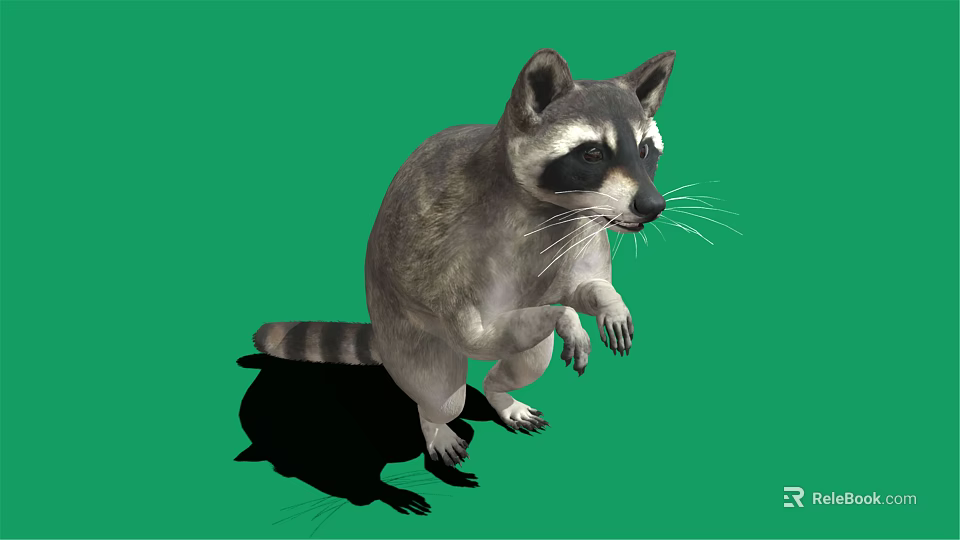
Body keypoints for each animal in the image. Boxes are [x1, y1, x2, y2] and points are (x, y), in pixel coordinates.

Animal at [253, 49, 675, 466]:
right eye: (592, 153)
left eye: (643, 150)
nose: (653, 206)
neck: (553, 210)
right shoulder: (458, 258)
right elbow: (477, 336)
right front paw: (566, 317)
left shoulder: (583, 233)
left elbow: (584, 286)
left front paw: (609, 302)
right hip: (402, 325)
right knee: (442, 394)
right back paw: (434, 423)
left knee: (530, 357)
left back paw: (499, 393)